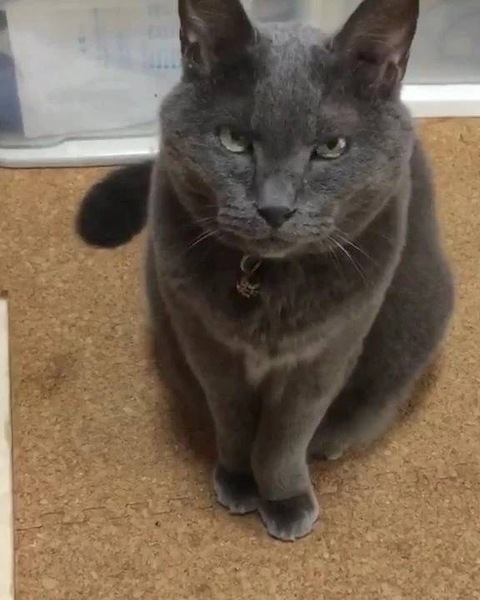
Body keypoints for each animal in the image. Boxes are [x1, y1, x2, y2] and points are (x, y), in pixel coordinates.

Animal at [77, 0, 454, 541]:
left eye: (332, 147)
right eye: (234, 140)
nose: (275, 207)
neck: (267, 283)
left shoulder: (325, 353)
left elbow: (284, 436)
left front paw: (284, 498)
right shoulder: (204, 341)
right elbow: (233, 417)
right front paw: (238, 478)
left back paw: (333, 442)